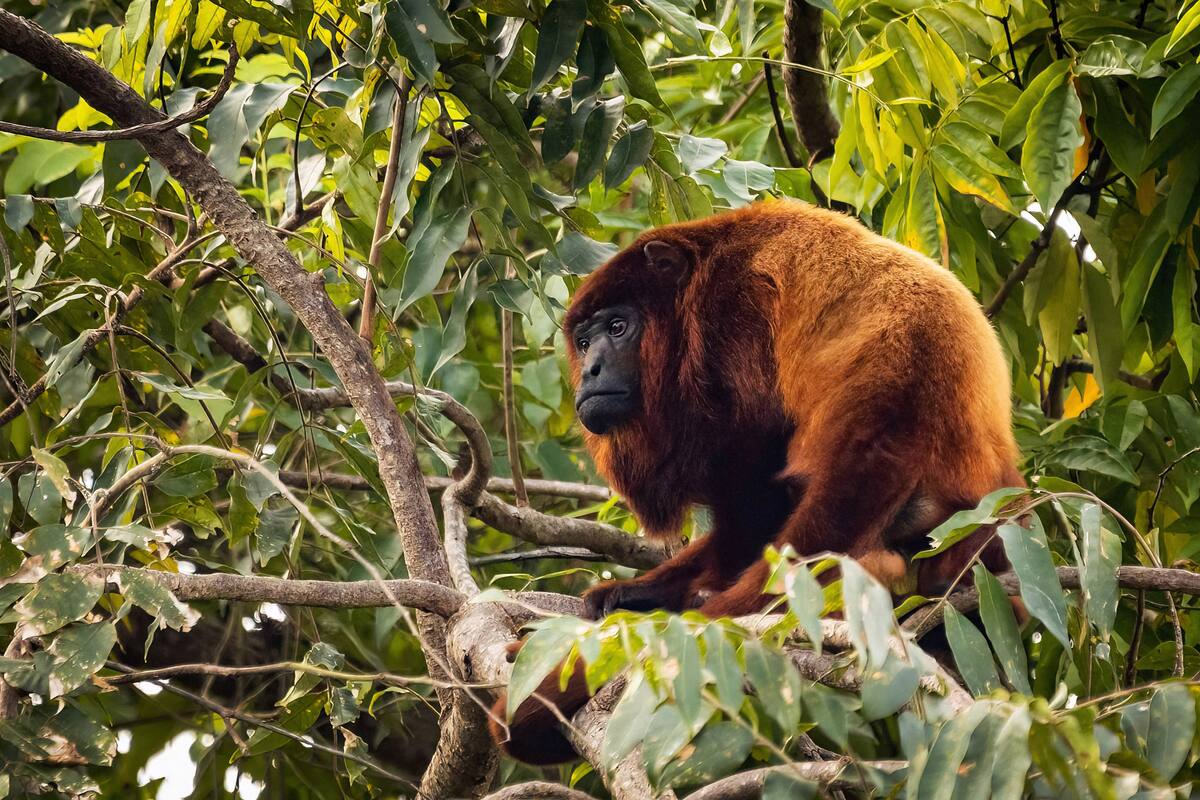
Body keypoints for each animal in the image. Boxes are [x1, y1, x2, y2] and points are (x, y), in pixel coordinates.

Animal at [488, 200, 1024, 763]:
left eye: (618, 327)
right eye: (584, 340)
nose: (589, 371)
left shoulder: (733, 312)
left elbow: (755, 465)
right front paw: (637, 591)